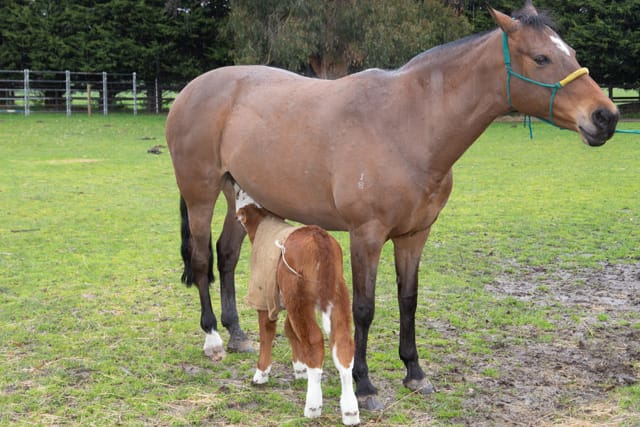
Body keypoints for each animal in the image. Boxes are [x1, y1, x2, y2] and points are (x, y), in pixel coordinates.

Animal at [234, 186, 359, 425]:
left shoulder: (263, 294)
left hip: (298, 295)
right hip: (337, 296)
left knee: (314, 341)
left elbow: (267, 333)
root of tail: (320, 238)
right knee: (343, 344)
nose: (237, 187)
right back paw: (350, 411)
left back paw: (313, 405)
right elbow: (289, 330)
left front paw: (261, 374)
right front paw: (299, 368)